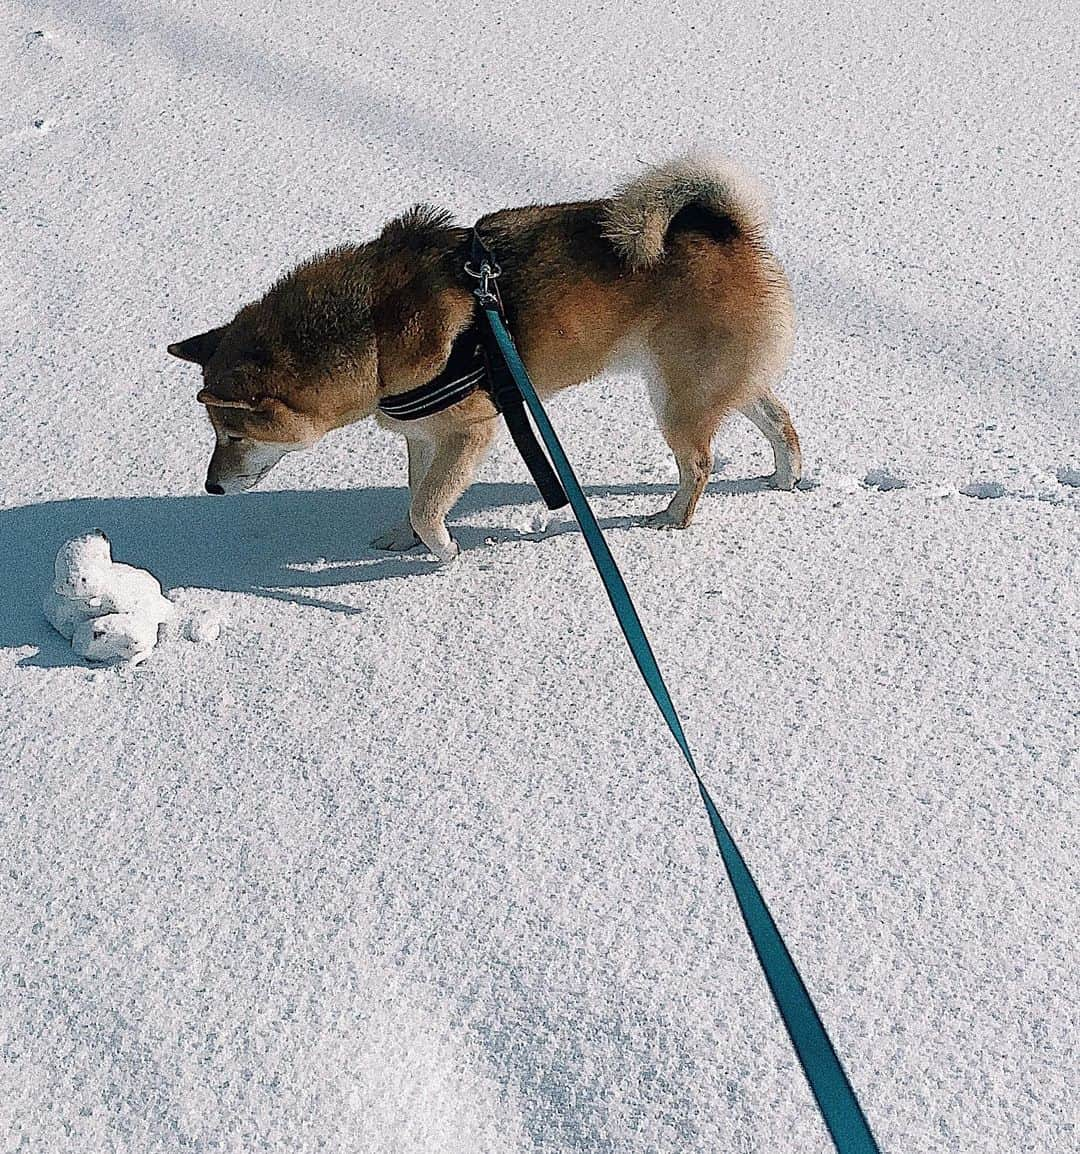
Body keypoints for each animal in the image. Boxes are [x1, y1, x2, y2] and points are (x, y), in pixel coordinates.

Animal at [166, 156, 793, 563]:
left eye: (233, 434)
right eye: (217, 434)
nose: (211, 488)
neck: (372, 331)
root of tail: (732, 233)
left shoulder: (469, 432)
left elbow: (428, 505)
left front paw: (442, 550)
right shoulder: (424, 435)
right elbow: (416, 495)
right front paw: (405, 540)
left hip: (679, 398)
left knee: (699, 463)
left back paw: (672, 517)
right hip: (719, 382)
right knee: (781, 422)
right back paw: (787, 479)